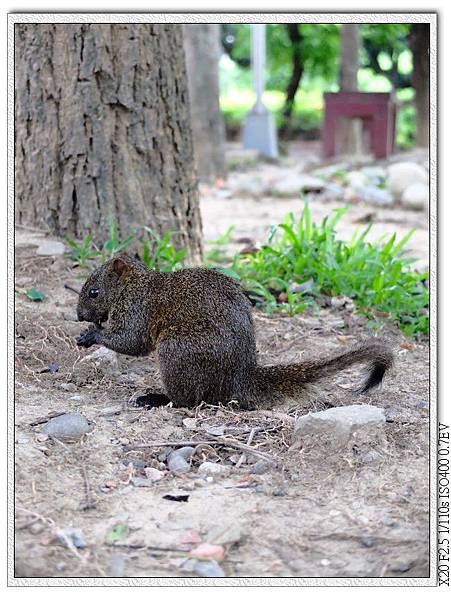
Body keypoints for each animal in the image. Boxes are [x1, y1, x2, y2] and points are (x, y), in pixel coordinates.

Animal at [76, 251, 394, 410]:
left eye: (93, 292)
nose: (78, 315)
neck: (134, 285)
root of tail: (241, 378)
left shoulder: (138, 310)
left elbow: (132, 341)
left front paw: (92, 335)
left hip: (176, 351)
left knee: (190, 401)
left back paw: (158, 399)